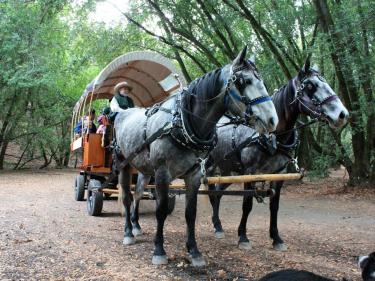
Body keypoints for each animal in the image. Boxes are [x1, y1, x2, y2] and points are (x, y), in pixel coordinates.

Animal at [114, 47, 280, 266]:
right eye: (244, 81)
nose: (272, 120)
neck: (182, 123)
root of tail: (121, 113)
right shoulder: (162, 173)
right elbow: (161, 210)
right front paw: (159, 250)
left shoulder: (193, 174)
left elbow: (190, 213)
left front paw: (193, 251)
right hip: (124, 164)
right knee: (126, 197)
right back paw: (128, 233)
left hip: (144, 169)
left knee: (138, 193)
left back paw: (136, 225)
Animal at [209, 58, 350, 250]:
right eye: (310, 86)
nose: (342, 115)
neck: (271, 136)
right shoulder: (249, 172)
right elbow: (247, 205)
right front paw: (243, 237)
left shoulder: (279, 173)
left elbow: (274, 206)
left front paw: (276, 238)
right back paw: (216, 226)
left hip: (227, 171)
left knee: (217, 192)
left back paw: (218, 226)